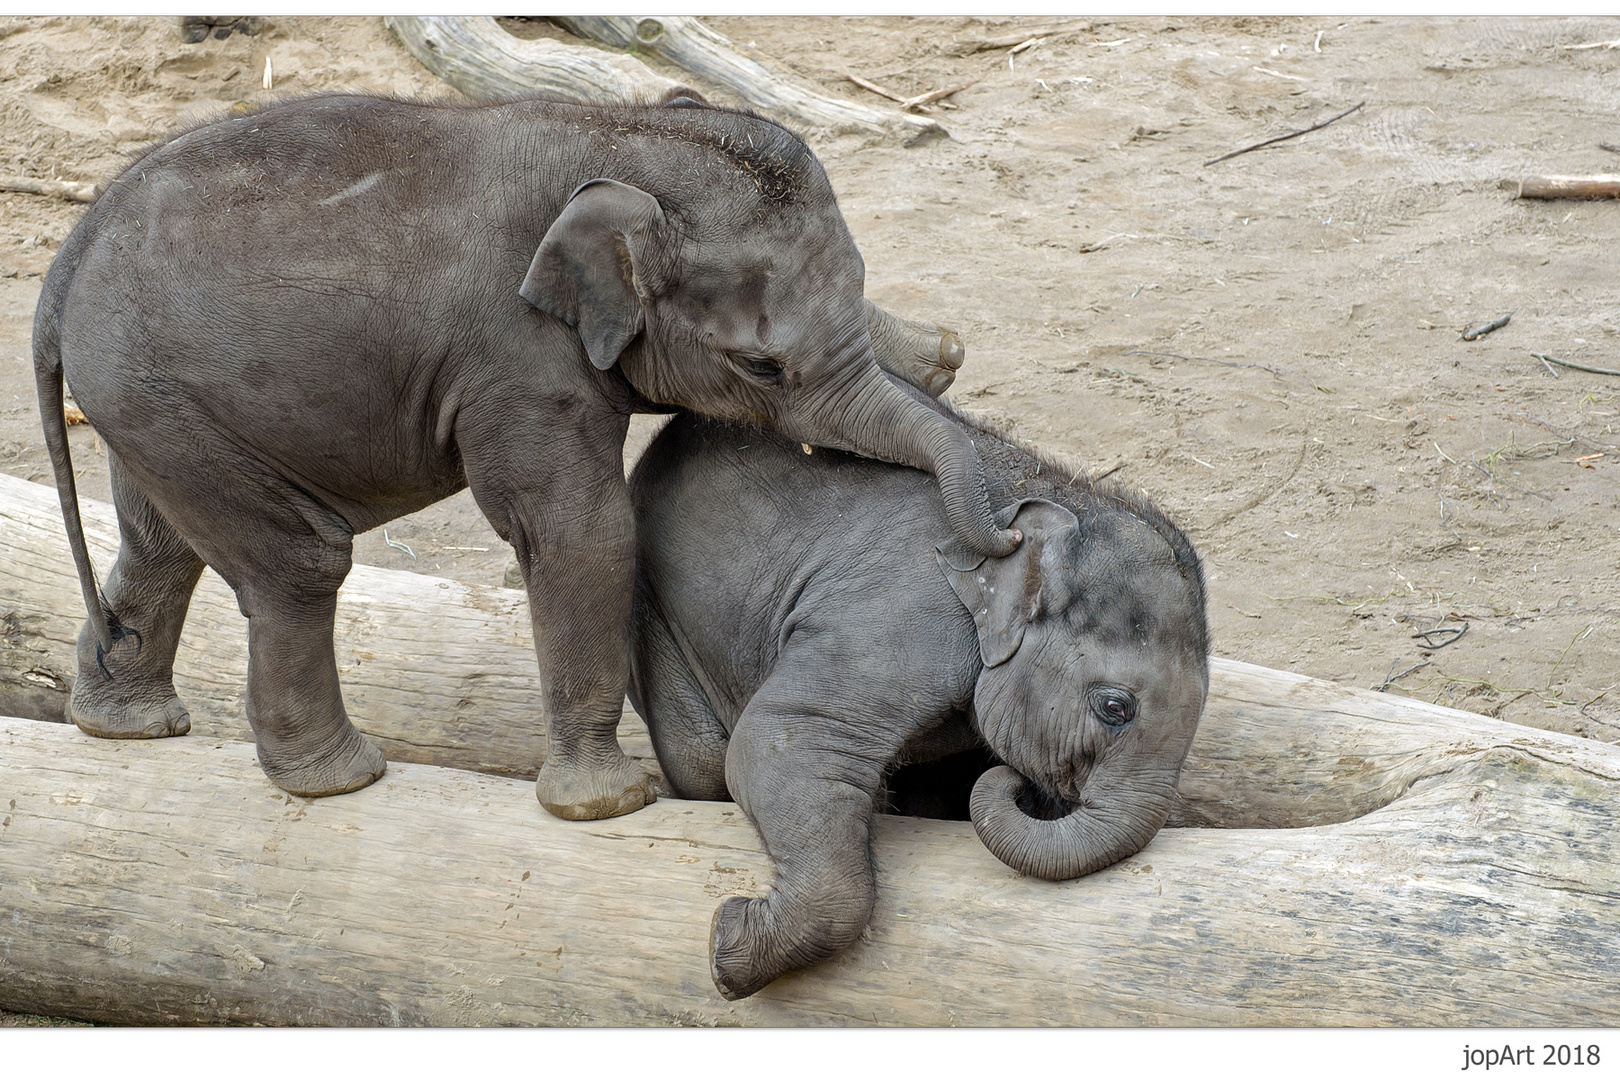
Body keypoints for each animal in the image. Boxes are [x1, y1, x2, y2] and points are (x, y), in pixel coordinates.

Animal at [34, 90, 1010, 819]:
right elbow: (580, 532)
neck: (611, 131)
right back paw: (341, 778)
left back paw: (128, 725)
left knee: (161, 542)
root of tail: (70, 253)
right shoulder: (518, 357)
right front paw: (607, 805)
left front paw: (932, 351)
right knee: (297, 561)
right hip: (160, 393)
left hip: (151, 402)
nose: (1003, 538)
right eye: (762, 366)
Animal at [625, 383, 1211, 1003]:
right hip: (652, 606)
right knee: (703, 762)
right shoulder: (901, 615)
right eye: (1115, 708)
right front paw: (727, 947)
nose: (1020, 784)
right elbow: (780, 739)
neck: (1054, 498)